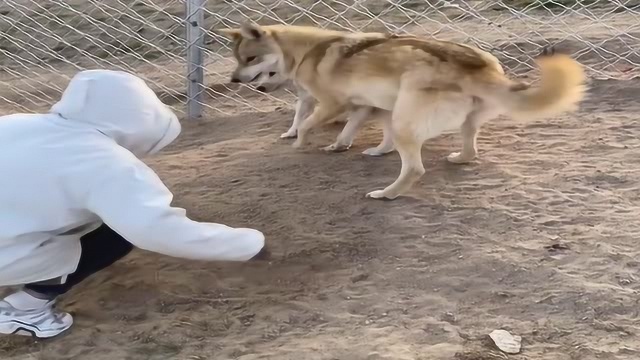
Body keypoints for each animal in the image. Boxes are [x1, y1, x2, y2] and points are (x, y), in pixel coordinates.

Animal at [219, 24, 584, 201]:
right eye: (238, 59)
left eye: (250, 58)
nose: (234, 79)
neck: (308, 51)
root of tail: (477, 66)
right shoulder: (371, 106)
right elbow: (353, 130)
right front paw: (346, 145)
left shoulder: (334, 103)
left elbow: (309, 123)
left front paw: (300, 143)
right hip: (445, 118)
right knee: (469, 149)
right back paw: (458, 158)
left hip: (406, 121)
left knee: (415, 168)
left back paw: (387, 194)